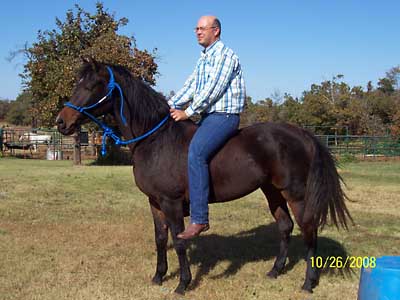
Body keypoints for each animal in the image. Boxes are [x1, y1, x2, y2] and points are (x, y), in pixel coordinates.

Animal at [55, 59, 350, 294]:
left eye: (92, 85)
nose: (61, 122)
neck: (155, 138)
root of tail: (303, 134)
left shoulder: (171, 202)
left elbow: (179, 240)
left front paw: (182, 283)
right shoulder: (154, 202)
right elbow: (160, 239)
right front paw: (158, 276)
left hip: (296, 195)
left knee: (309, 231)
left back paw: (309, 283)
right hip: (272, 191)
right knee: (285, 227)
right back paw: (275, 271)